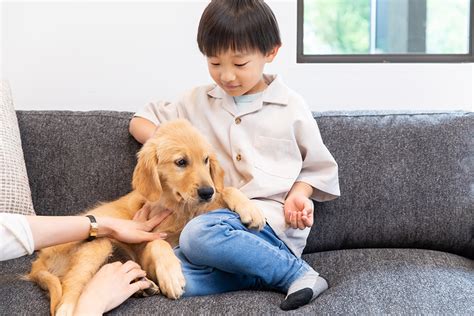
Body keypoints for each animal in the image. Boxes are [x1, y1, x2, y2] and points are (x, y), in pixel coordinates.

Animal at [28, 119, 266, 316]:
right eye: (181, 162)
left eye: (206, 160)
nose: (207, 192)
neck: (179, 207)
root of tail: (38, 261)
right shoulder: (146, 239)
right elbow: (157, 243)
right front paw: (171, 275)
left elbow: (227, 190)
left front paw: (251, 209)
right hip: (98, 245)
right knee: (69, 294)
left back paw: (143, 286)